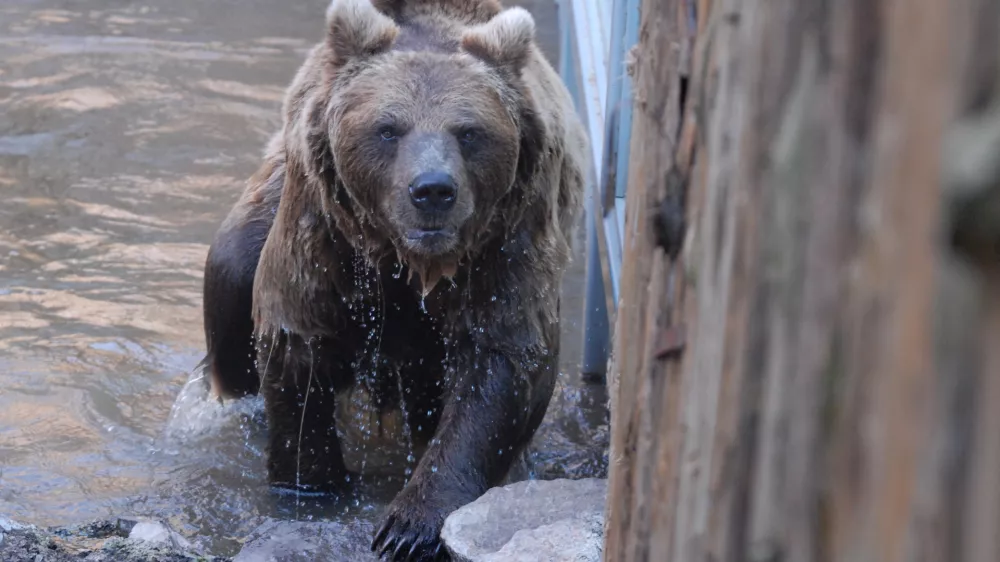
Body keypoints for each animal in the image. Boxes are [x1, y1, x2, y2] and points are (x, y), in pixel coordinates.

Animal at [197, 0, 584, 556]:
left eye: (468, 131)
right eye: (388, 128)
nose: (432, 189)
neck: (411, 262)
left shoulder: (508, 241)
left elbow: (503, 363)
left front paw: (408, 526)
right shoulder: (324, 233)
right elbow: (298, 345)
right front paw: (312, 486)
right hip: (258, 218)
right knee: (230, 290)